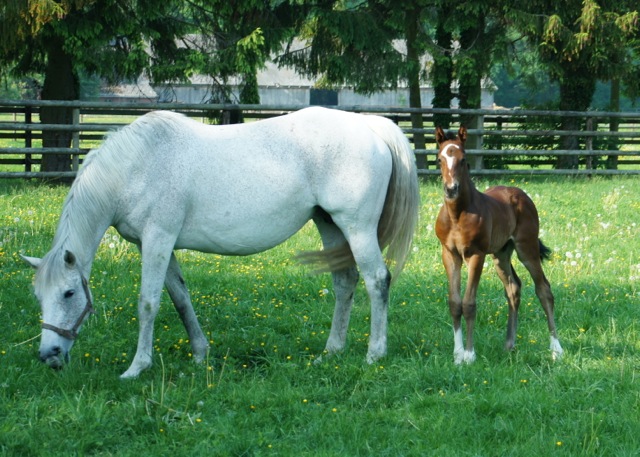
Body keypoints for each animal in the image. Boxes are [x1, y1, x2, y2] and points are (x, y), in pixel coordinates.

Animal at [22, 108, 420, 378]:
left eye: (69, 293)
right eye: (39, 296)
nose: (49, 354)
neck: (138, 166)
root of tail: (370, 125)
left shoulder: (157, 240)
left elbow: (148, 303)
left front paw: (137, 367)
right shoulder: (158, 245)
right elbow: (180, 299)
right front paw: (201, 354)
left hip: (357, 227)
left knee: (377, 281)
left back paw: (374, 353)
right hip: (329, 224)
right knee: (345, 282)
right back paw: (332, 351)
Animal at [432, 124, 564, 364]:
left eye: (463, 159)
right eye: (439, 159)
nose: (451, 189)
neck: (457, 215)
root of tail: (520, 194)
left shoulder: (476, 254)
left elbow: (469, 303)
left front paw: (469, 355)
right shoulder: (449, 254)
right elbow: (455, 303)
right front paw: (457, 355)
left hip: (526, 248)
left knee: (544, 290)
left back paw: (556, 349)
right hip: (501, 254)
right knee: (513, 287)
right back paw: (509, 345)